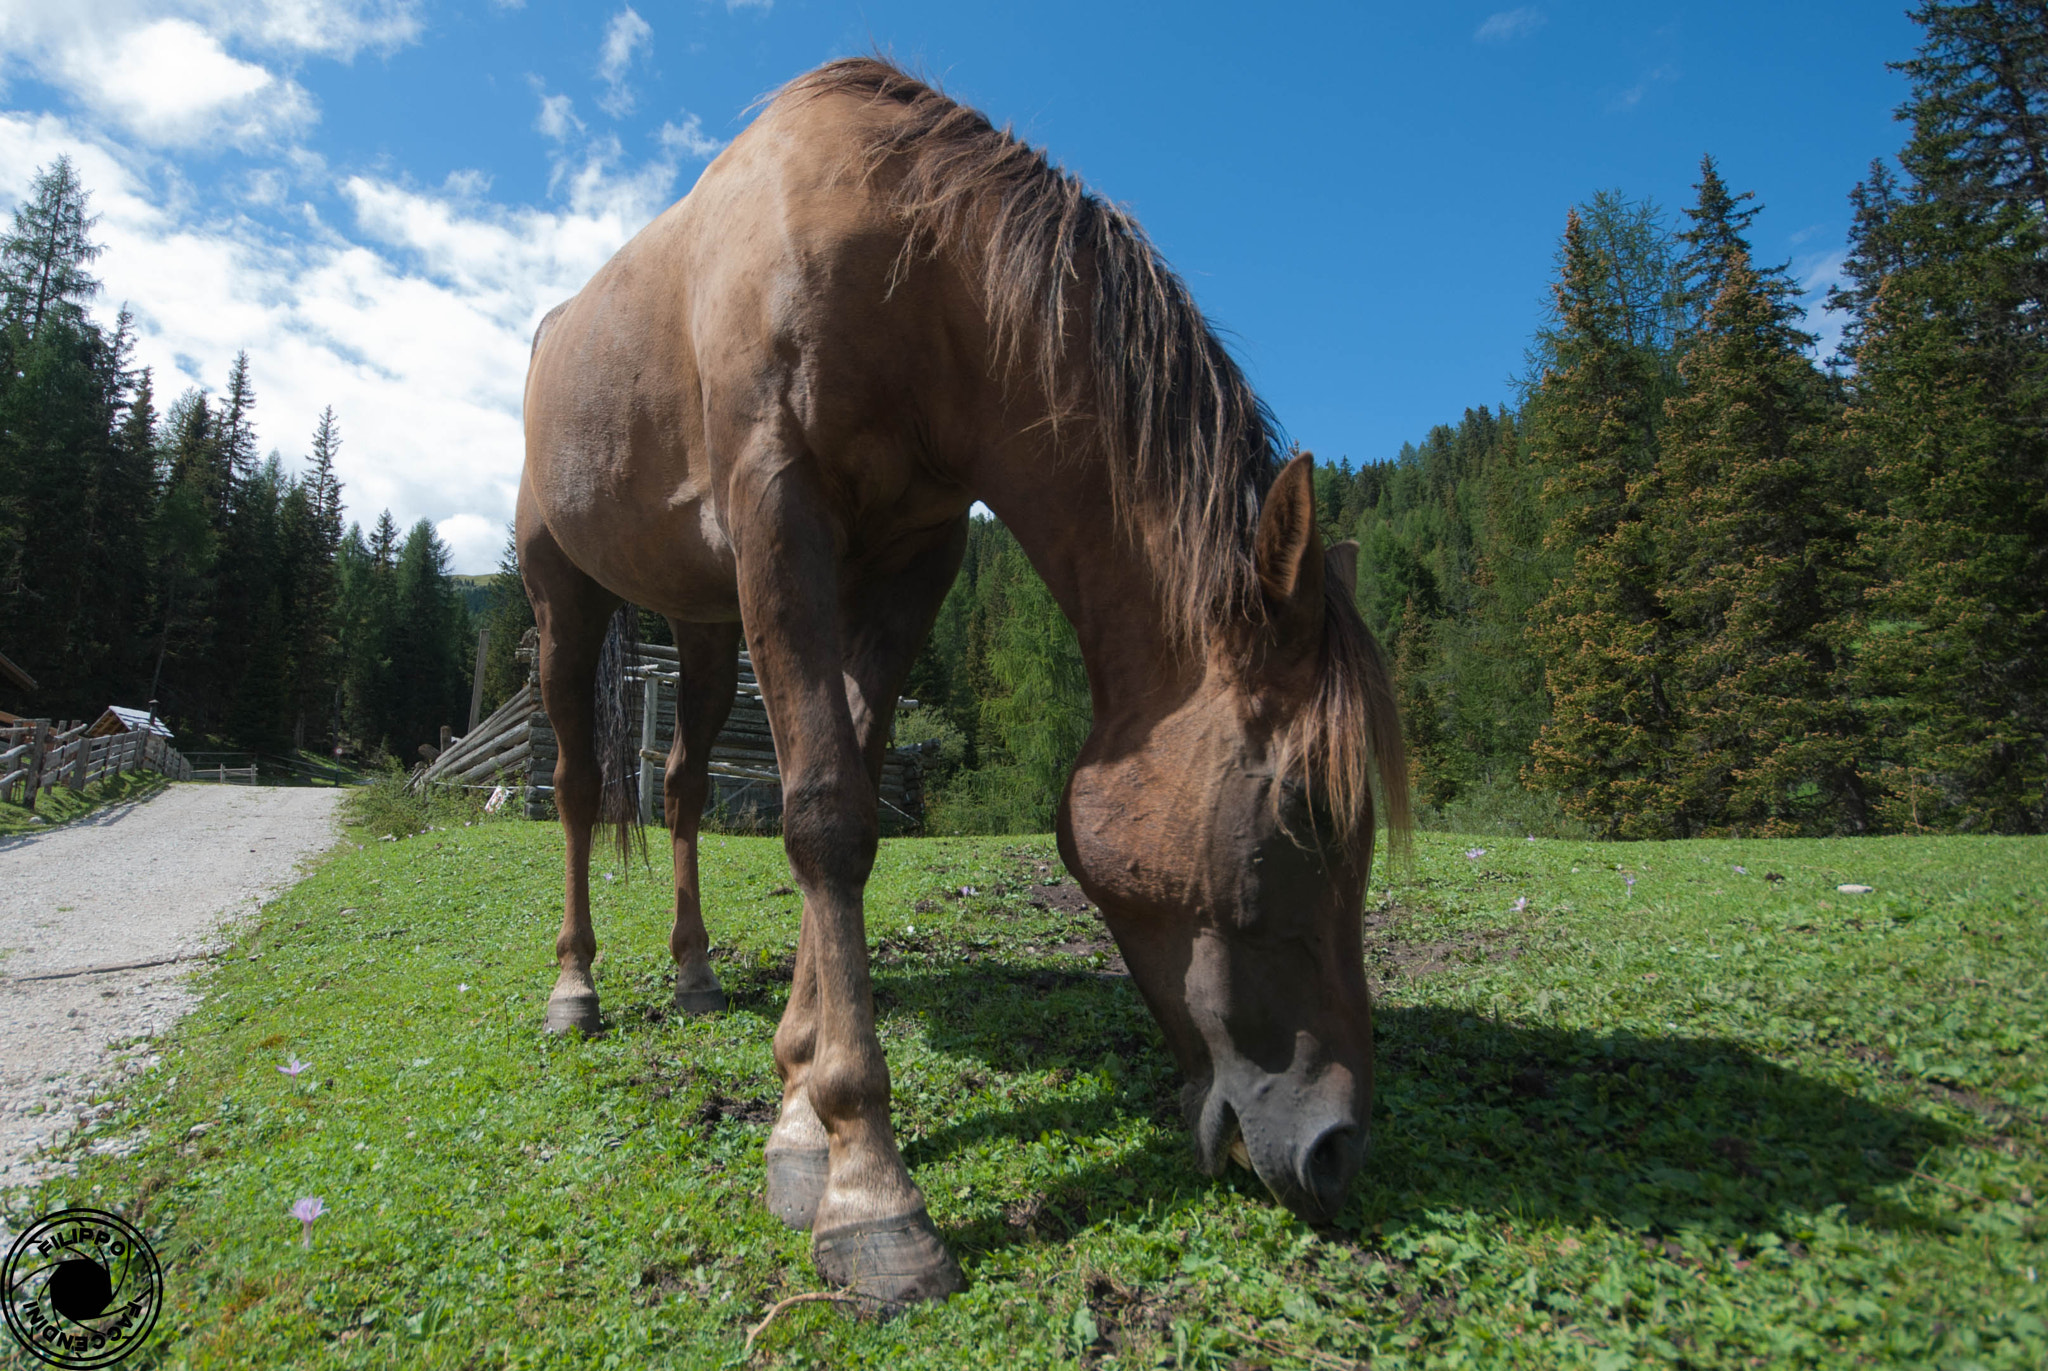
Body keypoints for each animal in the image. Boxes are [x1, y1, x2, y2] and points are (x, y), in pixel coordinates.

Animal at [518, 57, 1409, 1303]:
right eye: (1299, 815)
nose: (1335, 1147)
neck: (916, 276)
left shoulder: (913, 559)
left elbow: (845, 794)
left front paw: (798, 1114)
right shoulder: (777, 514)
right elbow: (825, 819)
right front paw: (869, 1192)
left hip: (700, 621)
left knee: (684, 785)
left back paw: (693, 977)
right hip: (561, 596)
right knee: (578, 788)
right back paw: (575, 990)